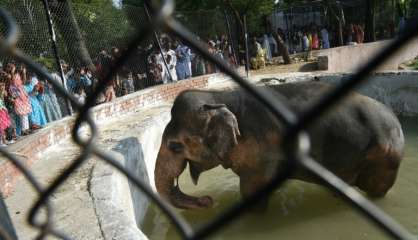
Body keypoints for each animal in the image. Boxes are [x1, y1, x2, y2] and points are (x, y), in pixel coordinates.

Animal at [154, 81, 404, 209]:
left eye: (175, 146)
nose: (207, 200)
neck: (219, 97)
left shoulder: (262, 151)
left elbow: (251, 191)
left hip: (384, 161)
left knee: (377, 189)